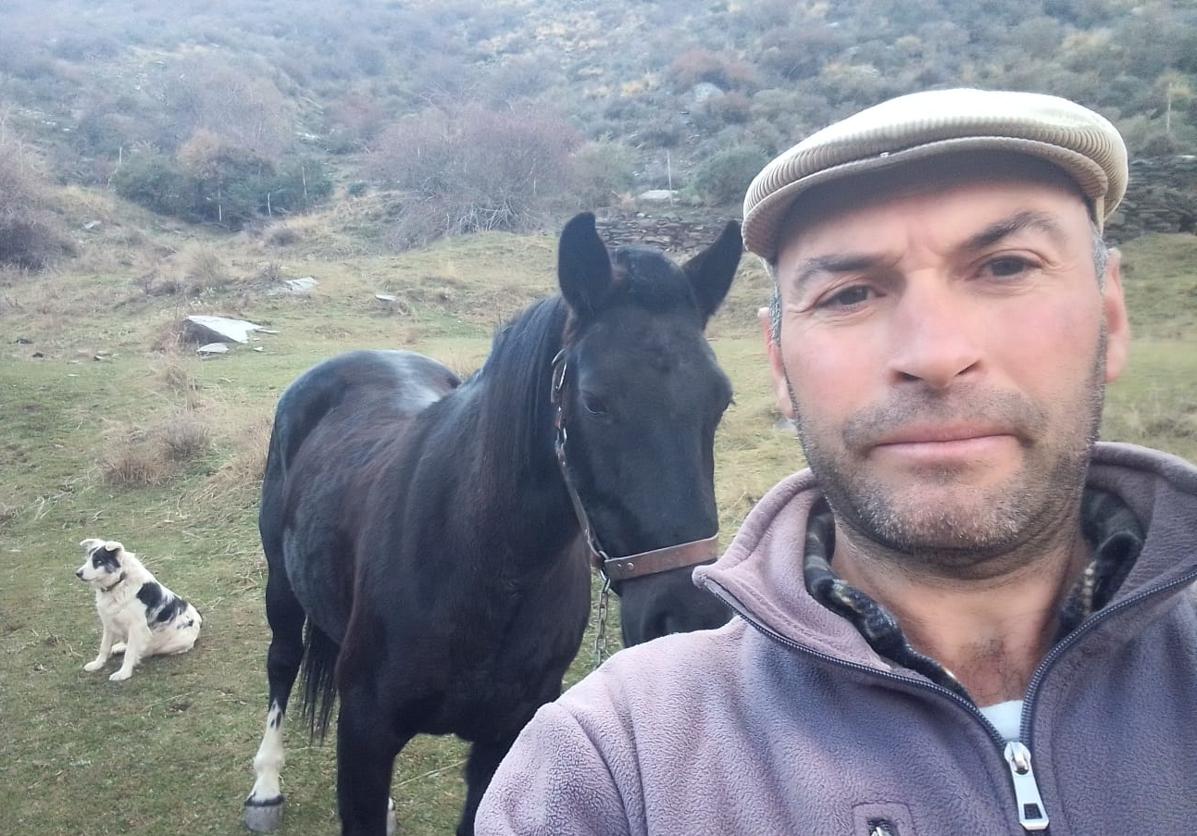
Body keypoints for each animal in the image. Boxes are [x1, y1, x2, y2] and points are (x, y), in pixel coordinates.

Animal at [74, 541, 202, 675]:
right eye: (88, 559)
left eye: (98, 561)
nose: (78, 573)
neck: (120, 581)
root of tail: (199, 620)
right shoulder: (109, 623)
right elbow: (104, 647)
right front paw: (97, 664)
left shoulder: (136, 626)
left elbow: (130, 653)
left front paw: (123, 673)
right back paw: (120, 647)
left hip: (173, 643)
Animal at [240, 213, 737, 833]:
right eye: (595, 402)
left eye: (721, 401)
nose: (689, 616)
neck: (479, 563)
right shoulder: (364, 735)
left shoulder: (504, 739)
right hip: (281, 587)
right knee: (282, 660)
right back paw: (265, 787)